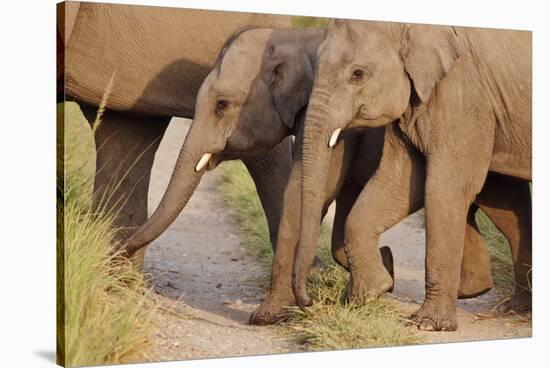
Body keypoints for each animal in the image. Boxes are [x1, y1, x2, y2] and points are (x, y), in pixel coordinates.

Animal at [296, 20, 532, 332]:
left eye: (358, 74)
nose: (309, 301)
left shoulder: (462, 96)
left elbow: (442, 189)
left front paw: (428, 324)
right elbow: (399, 182)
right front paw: (369, 293)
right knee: (507, 204)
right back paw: (516, 308)